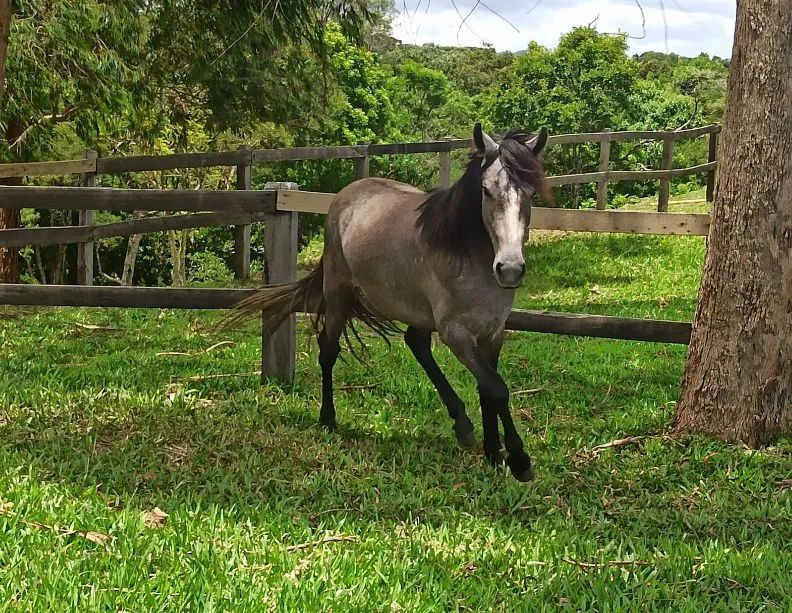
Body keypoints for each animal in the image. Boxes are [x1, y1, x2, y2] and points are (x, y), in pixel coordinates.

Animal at [231, 123, 549, 481]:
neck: (468, 255)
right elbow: (496, 388)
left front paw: (494, 453)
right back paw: (328, 418)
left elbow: (487, 387)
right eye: (485, 190)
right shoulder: (456, 333)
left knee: (416, 344)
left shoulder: (493, 333)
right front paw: (519, 459)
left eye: (532, 195)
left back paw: (462, 425)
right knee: (329, 351)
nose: (510, 269)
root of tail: (347, 194)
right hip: (338, 295)